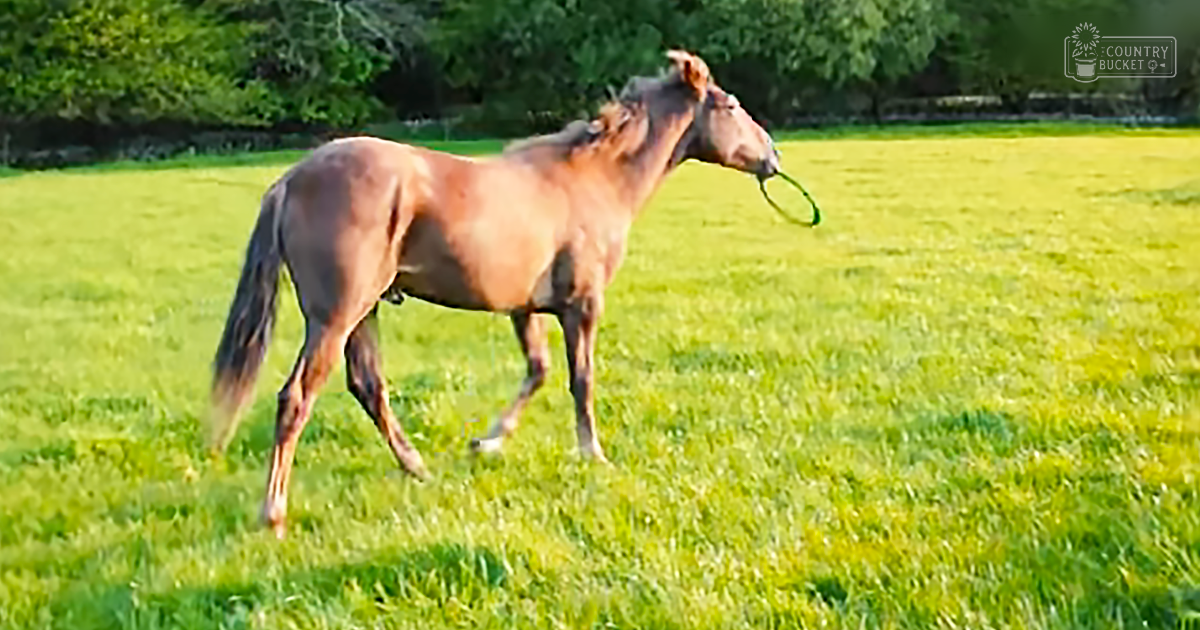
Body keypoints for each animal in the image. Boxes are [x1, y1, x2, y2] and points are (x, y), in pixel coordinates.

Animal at [208, 50, 782, 538]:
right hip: (336, 315)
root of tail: (289, 180)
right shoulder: (582, 304)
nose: (772, 157)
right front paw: (592, 453)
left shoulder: (523, 307)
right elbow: (581, 379)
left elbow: (538, 370)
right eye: (731, 105)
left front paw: (485, 442)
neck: (594, 180)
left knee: (367, 386)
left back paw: (416, 467)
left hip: (362, 313)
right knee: (297, 398)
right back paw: (273, 512)